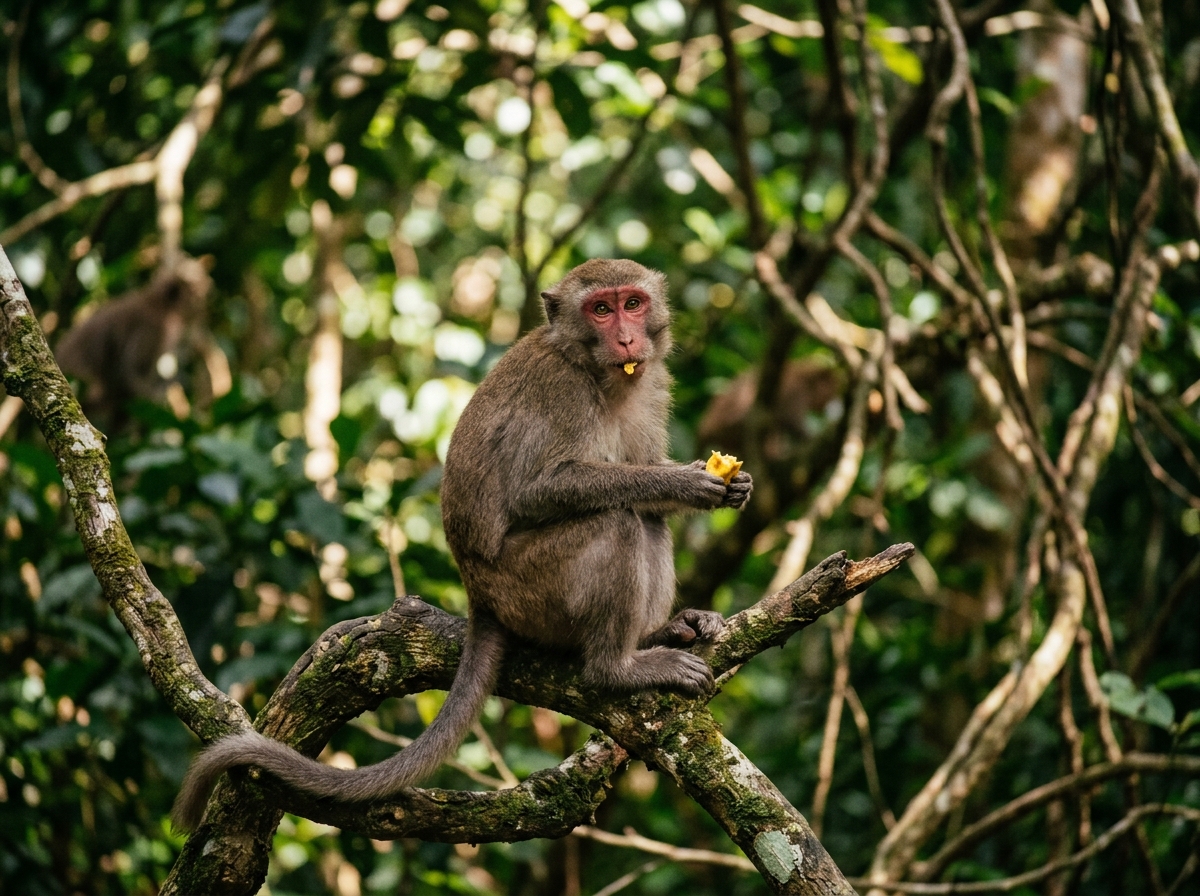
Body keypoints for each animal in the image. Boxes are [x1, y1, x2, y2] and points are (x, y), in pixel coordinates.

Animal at [171, 258, 753, 831]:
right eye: (601, 310)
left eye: (633, 303)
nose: (629, 339)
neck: (597, 372)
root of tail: (480, 599)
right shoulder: (560, 391)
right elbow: (539, 490)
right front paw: (682, 482)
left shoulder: (653, 384)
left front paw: (727, 485)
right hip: (529, 589)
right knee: (619, 521)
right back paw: (618, 668)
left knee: (647, 522)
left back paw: (657, 633)